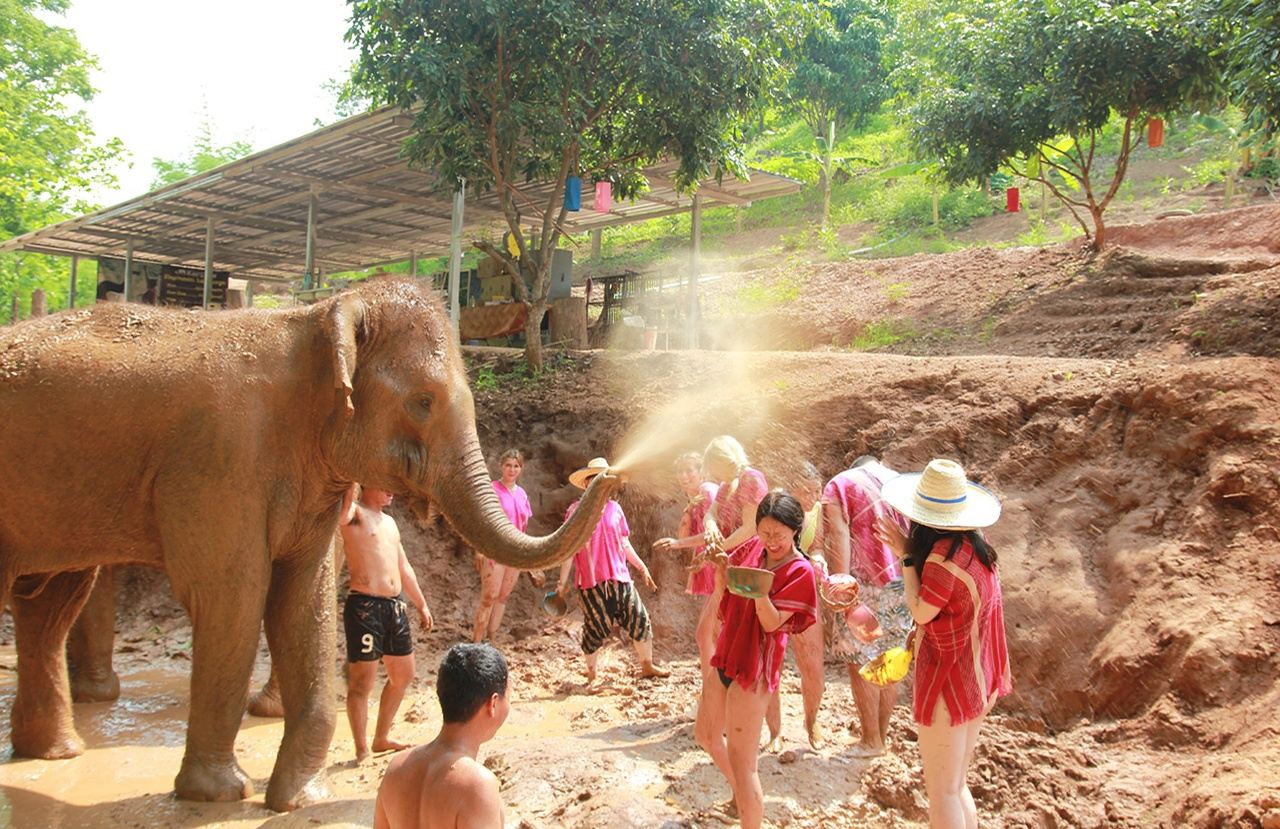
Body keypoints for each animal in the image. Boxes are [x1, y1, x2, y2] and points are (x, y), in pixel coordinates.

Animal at [0, 277, 617, 812]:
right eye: (422, 401)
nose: (608, 474)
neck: (315, 319)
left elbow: (303, 599)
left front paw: (297, 799)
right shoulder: (220, 461)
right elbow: (233, 595)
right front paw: (221, 795)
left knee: (51, 602)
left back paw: (55, 751)